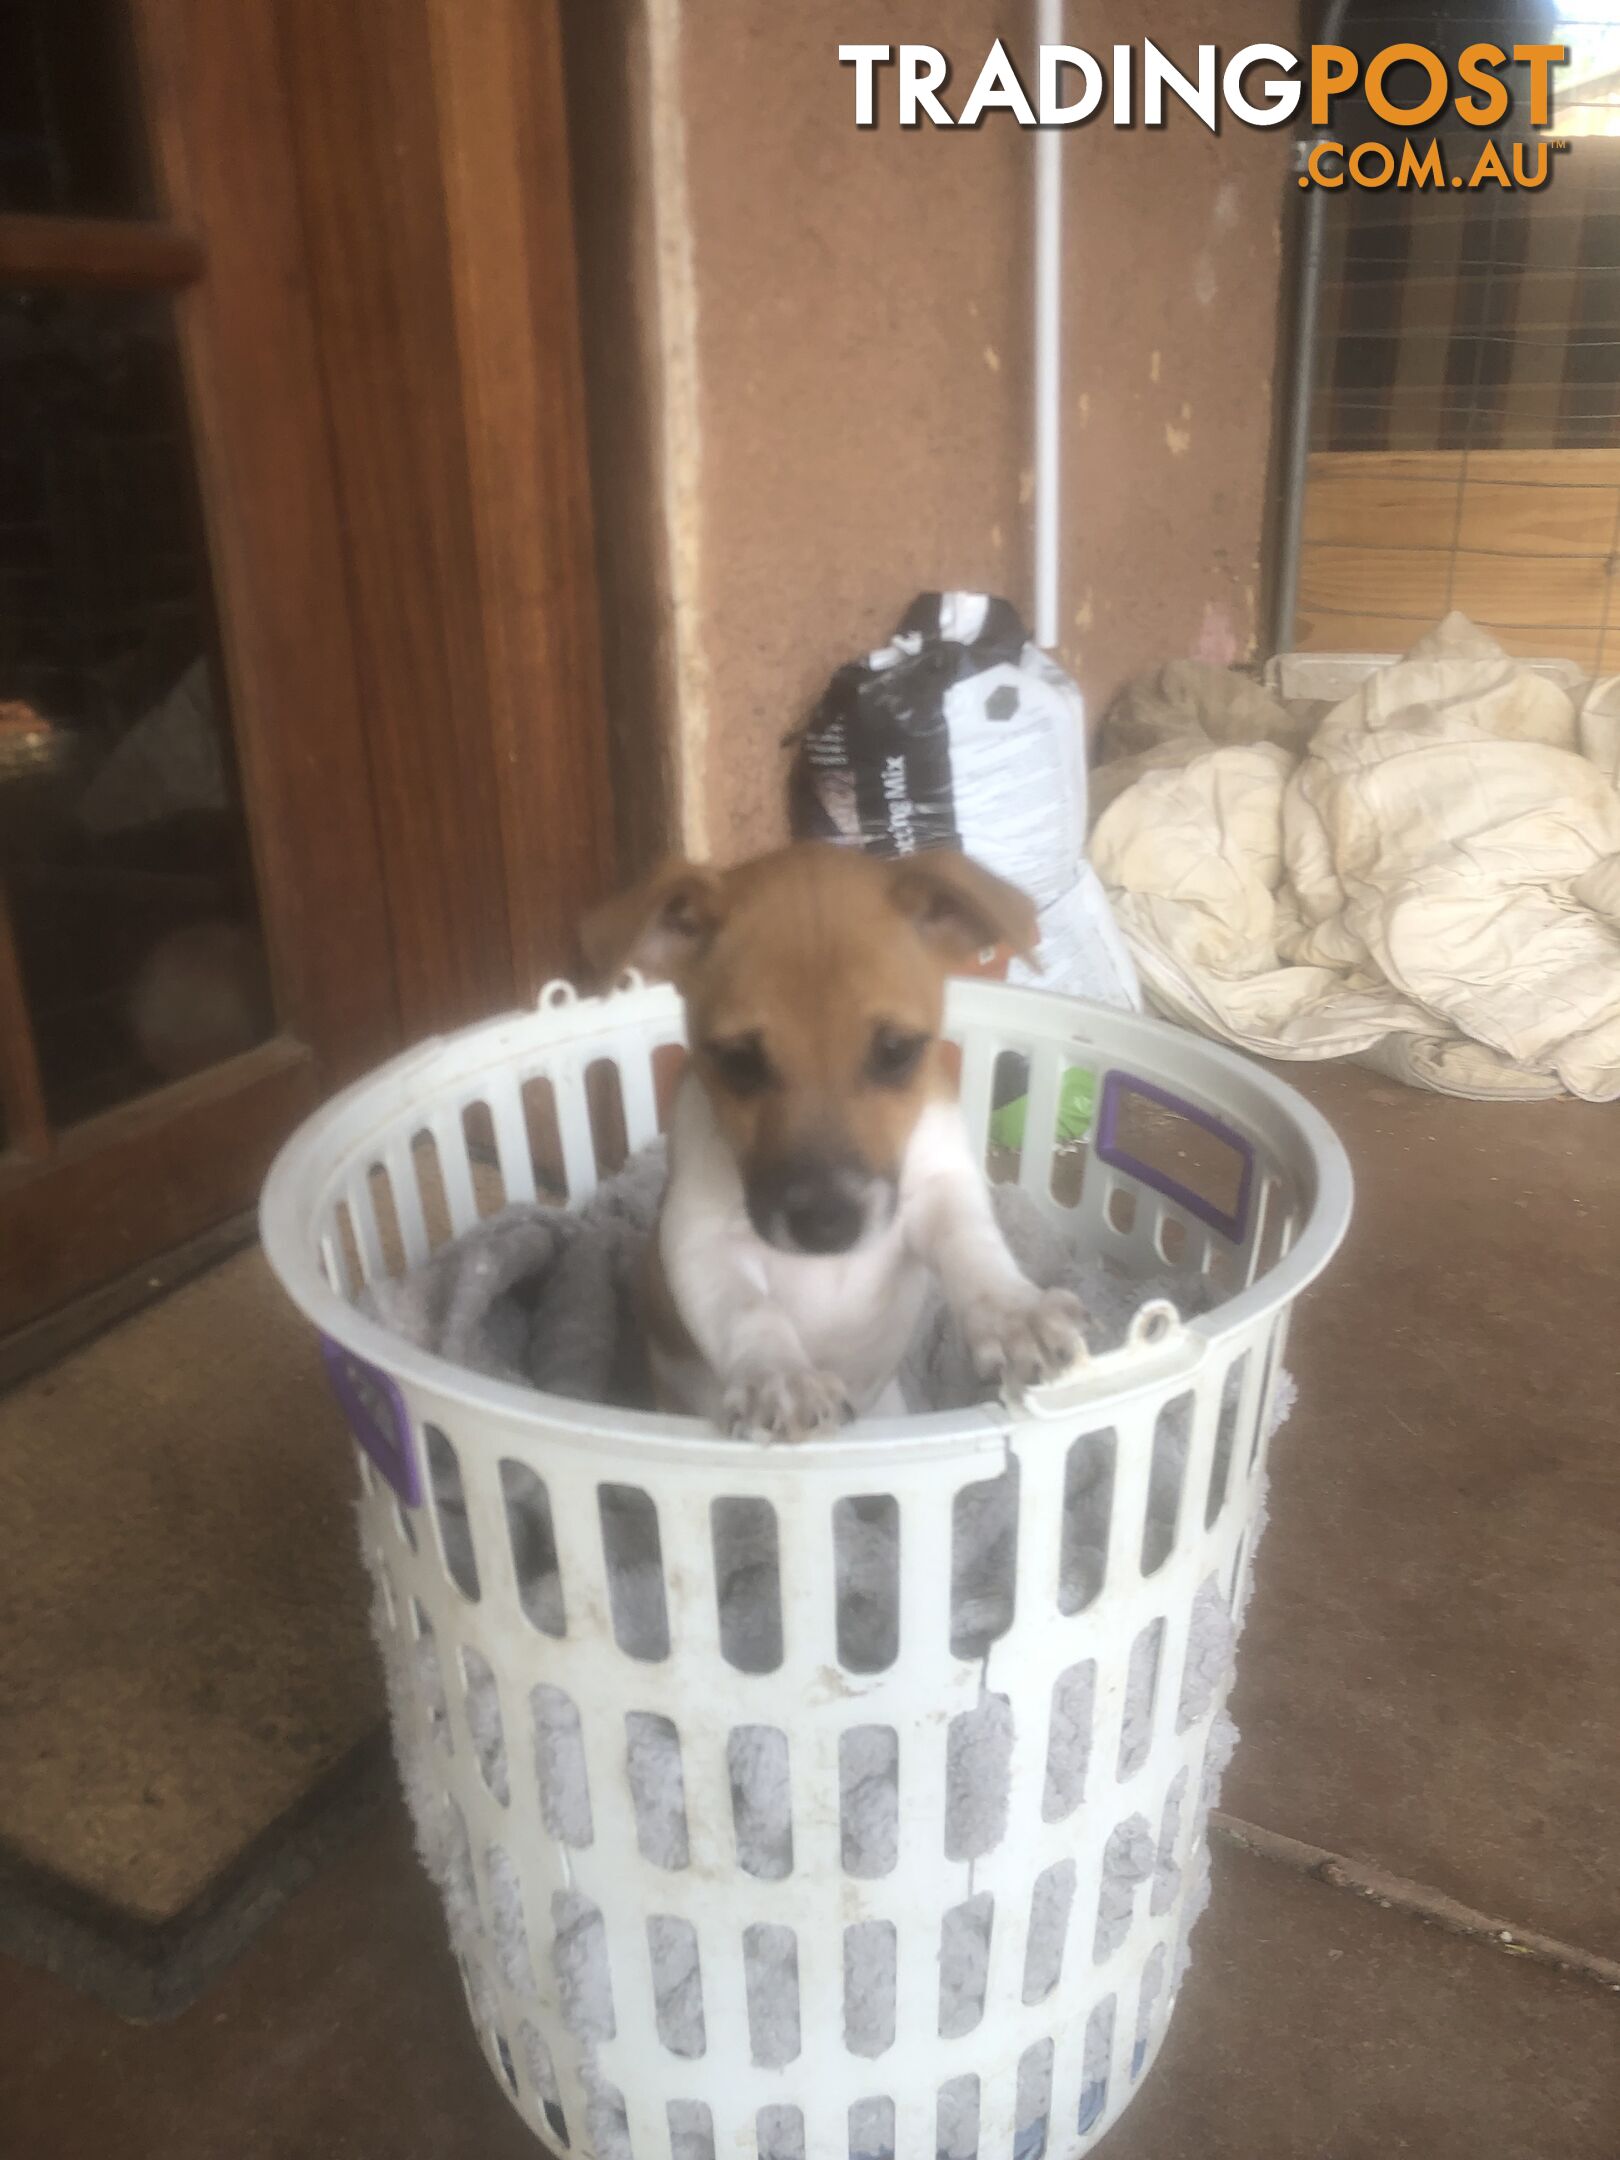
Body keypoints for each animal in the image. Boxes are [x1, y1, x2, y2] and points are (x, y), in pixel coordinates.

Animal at [583, 838, 1092, 1434]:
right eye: (739, 1061)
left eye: (896, 1051)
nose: (827, 1226)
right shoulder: (700, 1245)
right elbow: (750, 1311)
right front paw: (780, 1376)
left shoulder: (939, 1194)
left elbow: (975, 1252)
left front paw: (1017, 1315)